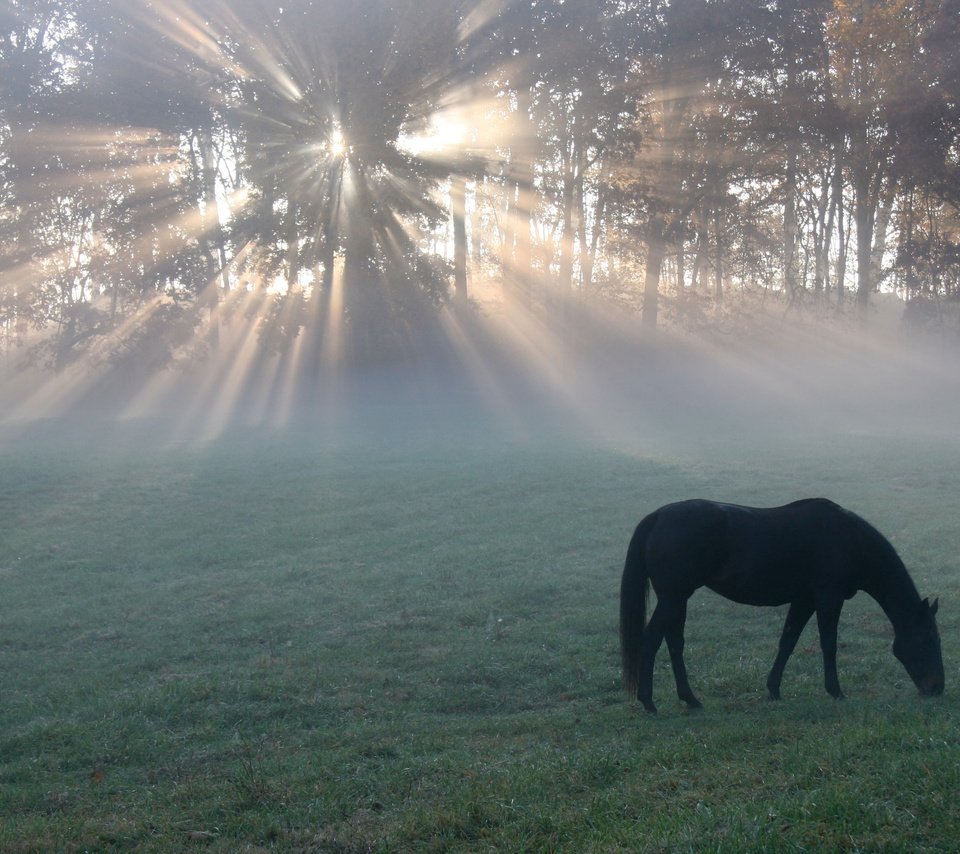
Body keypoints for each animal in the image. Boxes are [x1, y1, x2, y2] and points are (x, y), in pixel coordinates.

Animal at [620, 498, 940, 712]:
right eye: (929, 641)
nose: (938, 689)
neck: (849, 539)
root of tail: (658, 515)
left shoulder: (804, 600)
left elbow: (788, 641)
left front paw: (773, 689)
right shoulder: (829, 597)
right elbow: (829, 644)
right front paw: (835, 691)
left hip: (677, 599)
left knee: (675, 643)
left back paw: (690, 698)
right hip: (673, 598)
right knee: (651, 641)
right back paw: (649, 702)